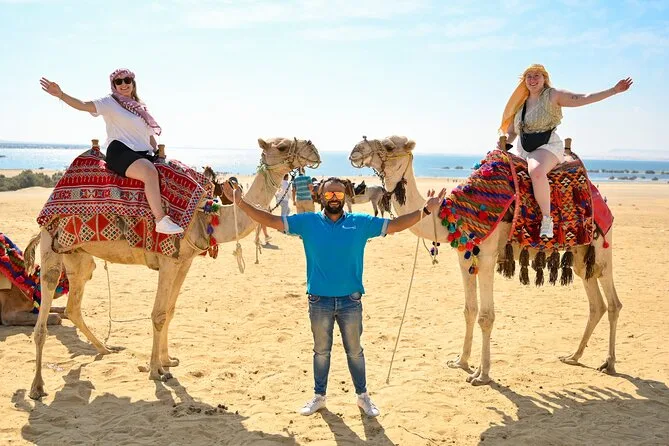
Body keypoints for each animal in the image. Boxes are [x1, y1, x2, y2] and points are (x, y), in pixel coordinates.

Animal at [26, 137, 320, 400]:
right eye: (281, 146)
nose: (313, 148)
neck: (205, 215)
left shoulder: (184, 261)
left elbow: (170, 311)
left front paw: (168, 360)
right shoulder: (168, 259)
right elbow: (157, 314)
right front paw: (156, 371)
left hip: (79, 257)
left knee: (73, 306)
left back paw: (106, 349)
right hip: (50, 246)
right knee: (45, 309)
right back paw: (37, 387)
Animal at [349, 135, 621, 386]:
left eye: (389, 146)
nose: (355, 151)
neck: (453, 215)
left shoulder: (488, 256)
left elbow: (486, 316)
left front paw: (482, 375)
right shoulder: (464, 258)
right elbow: (469, 311)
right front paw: (461, 361)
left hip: (602, 246)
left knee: (613, 303)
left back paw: (608, 363)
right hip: (581, 256)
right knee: (596, 304)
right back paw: (574, 356)